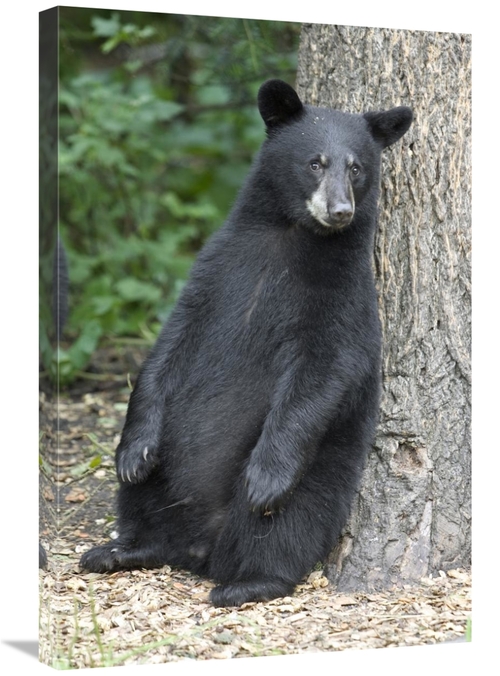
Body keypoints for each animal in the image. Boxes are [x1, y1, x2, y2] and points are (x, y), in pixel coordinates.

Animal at [80, 79, 413, 607]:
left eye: (357, 167)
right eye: (315, 162)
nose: (340, 211)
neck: (291, 237)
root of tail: (198, 549)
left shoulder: (343, 298)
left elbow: (322, 372)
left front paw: (265, 478)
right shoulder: (216, 270)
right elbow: (168, 346)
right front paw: (132, 452)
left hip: (319, 474)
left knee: (285, 526)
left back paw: (249, 581)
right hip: (167, 472)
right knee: (143, 500)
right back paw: (120, 549)